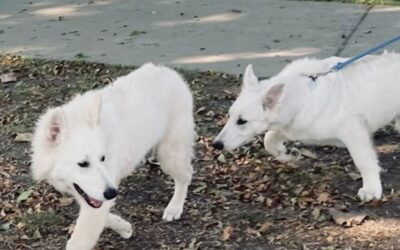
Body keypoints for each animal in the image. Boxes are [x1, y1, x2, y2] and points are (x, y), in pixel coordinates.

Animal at [30, 64, 195, 250]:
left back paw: (175, 207)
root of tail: (170, 72)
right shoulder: (87, 194)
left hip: (169, 155)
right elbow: (101, 211)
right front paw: (124, 227)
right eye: (83, 163)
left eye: (103, 158)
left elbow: (77, 241)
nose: (112, 193)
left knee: (186, 174)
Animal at [214, 51, 400, 202]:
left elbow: (364, 161)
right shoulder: (293, 126)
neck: (301, 95)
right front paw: (286, 155)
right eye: (229, 116)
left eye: (242, 121)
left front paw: (371, 188)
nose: (216, 145)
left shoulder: (354, 130)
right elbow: (269, 139)